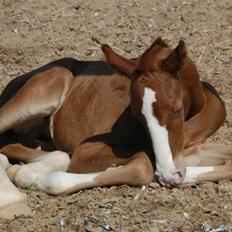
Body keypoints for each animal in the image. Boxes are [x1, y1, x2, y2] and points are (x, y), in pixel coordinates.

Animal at [0, 38, 231, 219]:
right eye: (136, 114)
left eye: (176, 108)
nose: (169, 176)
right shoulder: (85, 152)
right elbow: (141, 167)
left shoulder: (195, 148)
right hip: (54, 80)